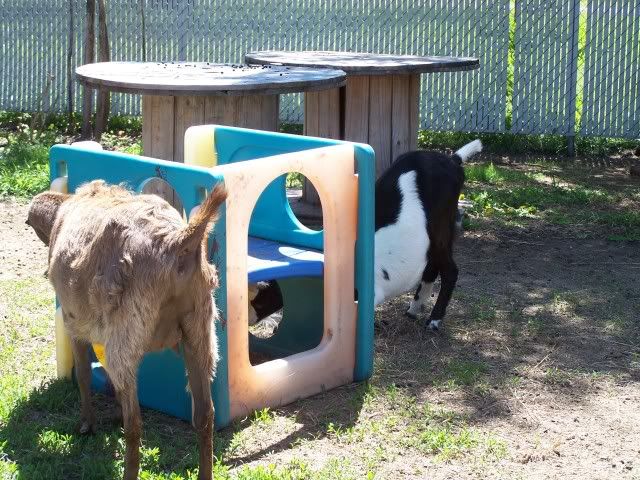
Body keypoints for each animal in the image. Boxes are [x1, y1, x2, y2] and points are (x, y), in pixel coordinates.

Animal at [26, 180, 226, 480]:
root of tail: (178, 242)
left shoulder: (74, 324)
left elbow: (83, 374)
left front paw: (87, 423)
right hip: (200, 333)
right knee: (204, 415)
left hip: (127, 334)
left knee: (135, 425)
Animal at [374, 140, 482, 330]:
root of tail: (452, 159)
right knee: (432, 266)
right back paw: (413, 309)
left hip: (440, 228)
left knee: (449, 270)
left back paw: (434, 320)